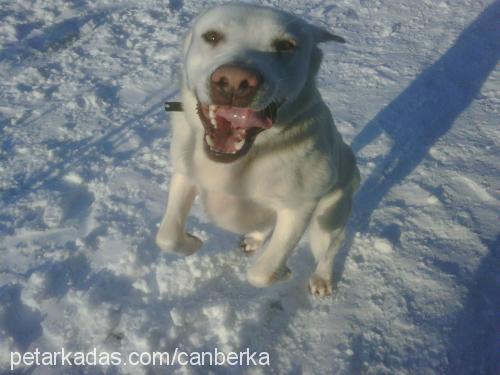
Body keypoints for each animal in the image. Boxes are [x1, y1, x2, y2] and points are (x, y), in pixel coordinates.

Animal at [156, 2, 360, 296]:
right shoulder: (185, 175)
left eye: (286, 45)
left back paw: (322, 279)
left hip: (327, 221)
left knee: (330, 250)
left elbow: (261, 274)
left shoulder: (298, 210)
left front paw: (283, 272)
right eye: (212, 36)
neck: (235, 166)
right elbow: (167, 236)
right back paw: (254, 238)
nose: (234, 80)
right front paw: (192, 242)